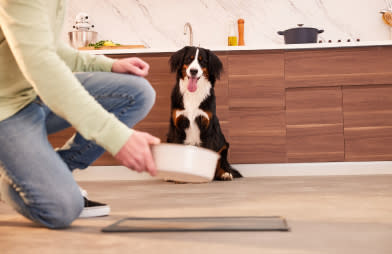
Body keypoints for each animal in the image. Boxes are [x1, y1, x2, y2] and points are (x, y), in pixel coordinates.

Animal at [166, 45, 240, 181]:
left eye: (202, 61)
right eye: (189, 59)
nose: (194, 71)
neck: (193, 95)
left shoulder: (207, 125)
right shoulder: (178, 125)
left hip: (223, 144)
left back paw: (225, 174)